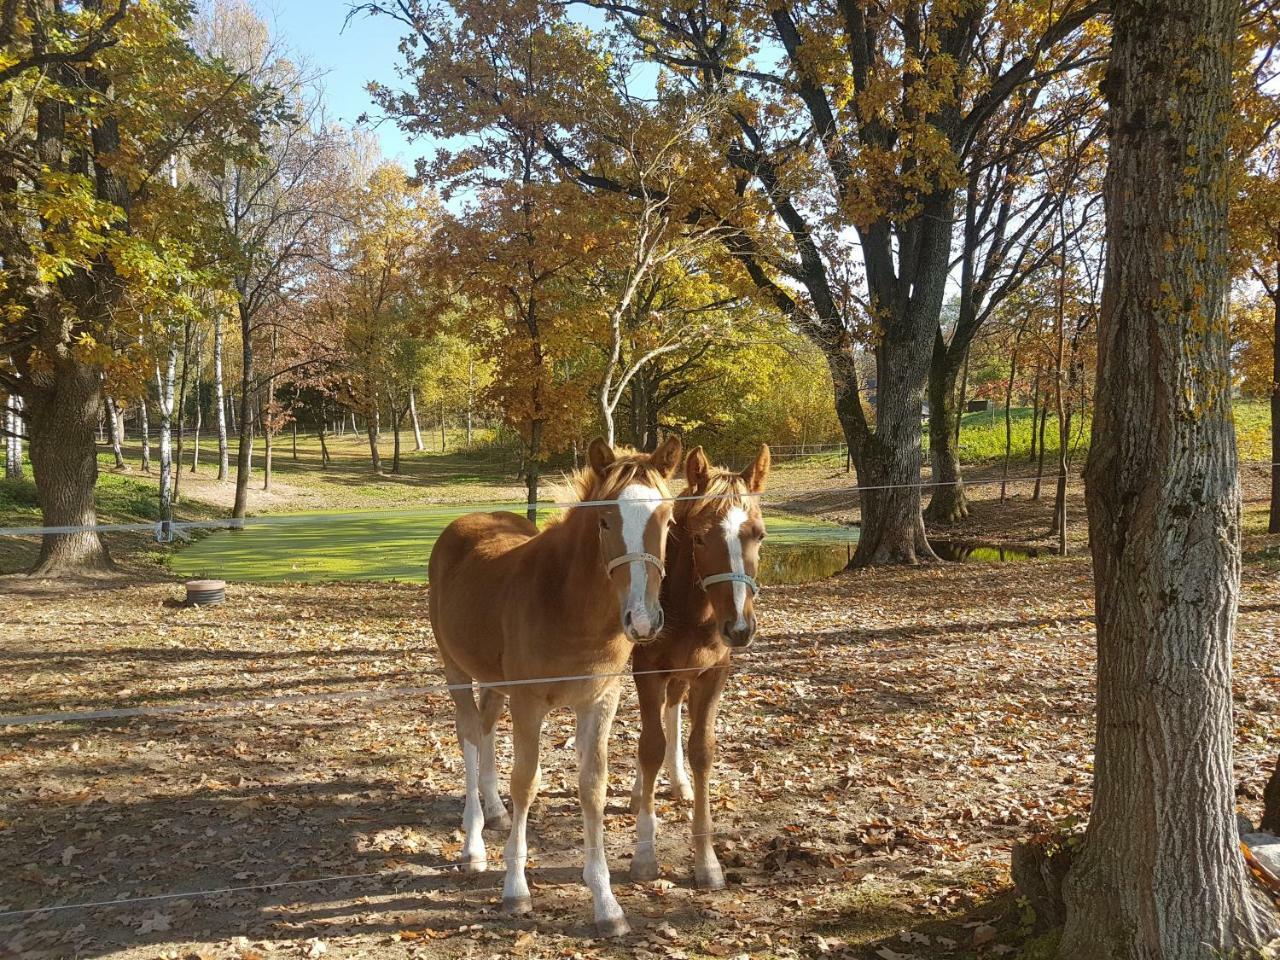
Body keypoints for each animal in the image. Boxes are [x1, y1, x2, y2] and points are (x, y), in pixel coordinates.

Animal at [427, 437, 680, 942]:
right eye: (605, 520)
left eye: (666, 519)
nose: (643, 621)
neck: (567, 603)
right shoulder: (529, 703)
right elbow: (526, 781)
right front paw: (515, 888)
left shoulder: (600, 702)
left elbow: (593, 786)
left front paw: (606, 903)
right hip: (456, 669)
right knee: (469, 735)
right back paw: (474, 844)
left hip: (495, 680)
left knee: (486, 726)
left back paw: (495, 811)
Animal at [624, 448, 762, 890]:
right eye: (700, 537)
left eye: (759, 535)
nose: (739, 628)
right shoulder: (646, 671)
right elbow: (649, 746)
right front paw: (644, 857)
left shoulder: (712, 675)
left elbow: (701, 750)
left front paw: (707, 862)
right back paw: (639, 791)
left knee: (672, 711)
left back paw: (679, 782)